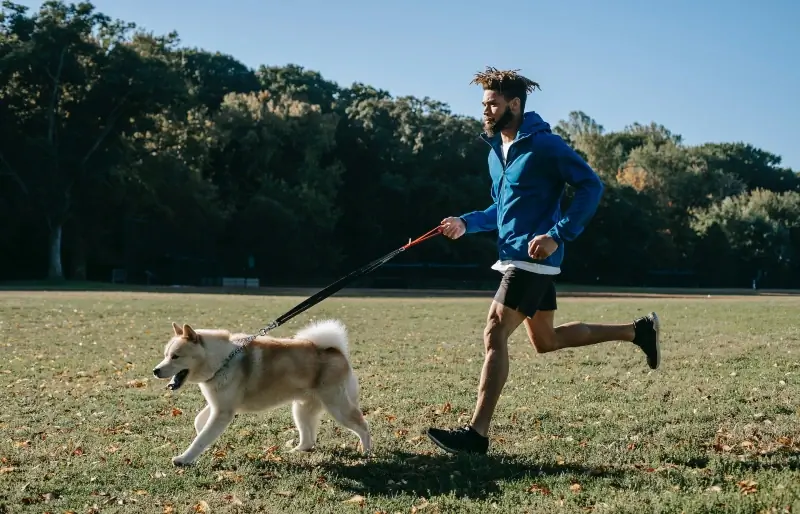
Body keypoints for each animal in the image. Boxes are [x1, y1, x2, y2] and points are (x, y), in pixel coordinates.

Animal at [152, 316, 372, 464]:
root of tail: (337, 351)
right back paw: (295, 451)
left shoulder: (223, 412)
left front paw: (184, 459)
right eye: (165, 355)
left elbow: (201, 439)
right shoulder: (219, 405)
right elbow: (200, 423)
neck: (222, 360)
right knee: (309, 439)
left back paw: (367, 452)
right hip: (302, 410)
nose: (155, 371)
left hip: (338, 407)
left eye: (175, 356)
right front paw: (201, 436)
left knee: (363, 426)